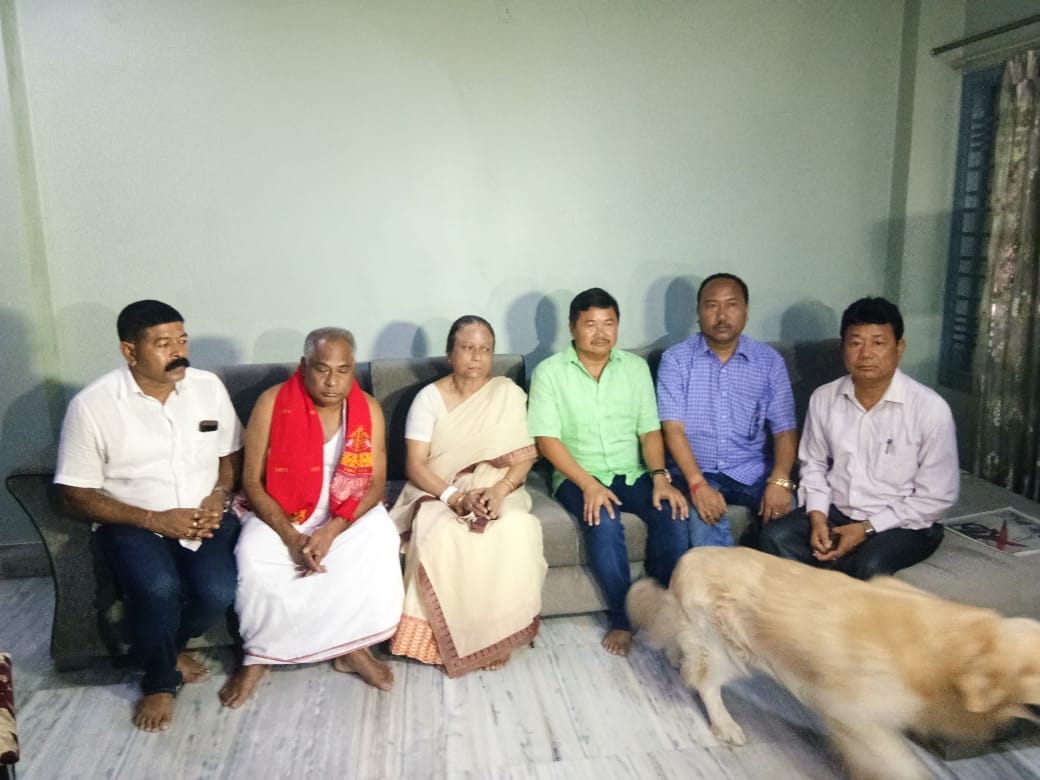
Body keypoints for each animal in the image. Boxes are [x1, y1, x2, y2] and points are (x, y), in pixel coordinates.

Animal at [626, 546, 1040, 780]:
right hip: (727, 648)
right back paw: (725, 723)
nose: (1006, 735)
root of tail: (687, 557)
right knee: (706, 684)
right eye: (1036, 701)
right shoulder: (854, 715)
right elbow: (901, 765)